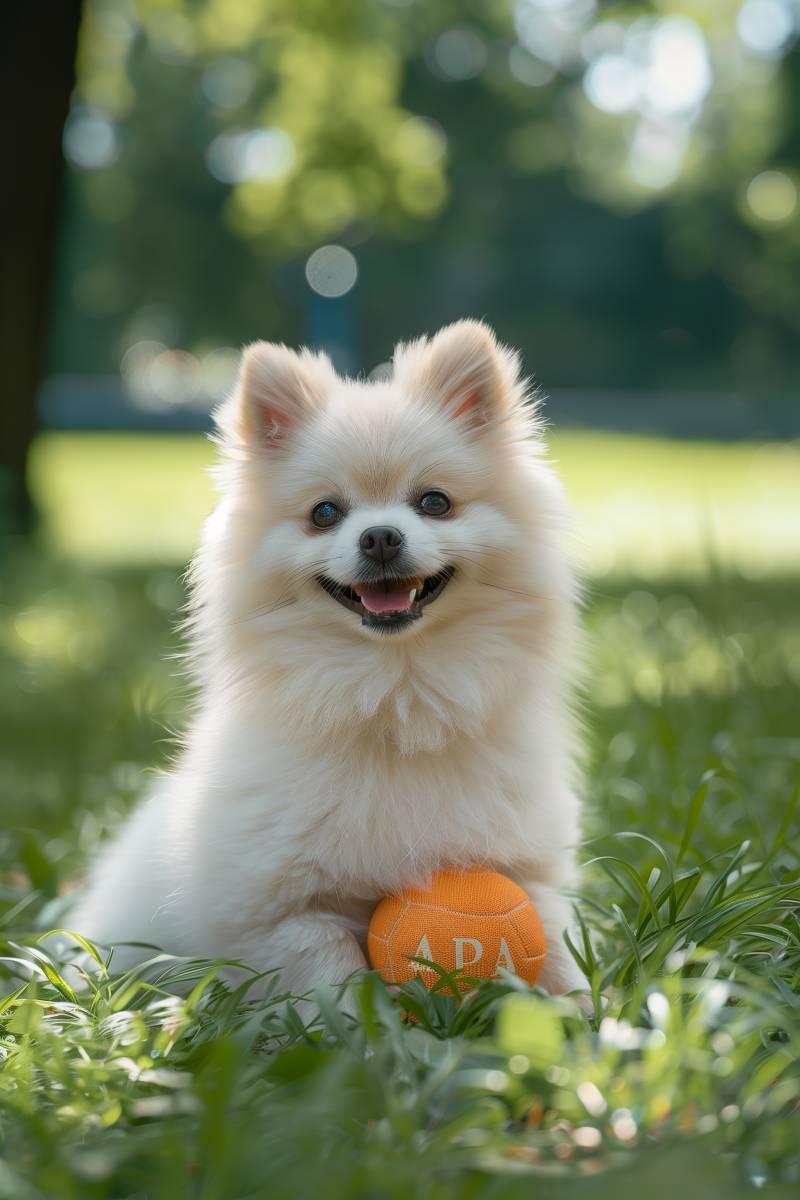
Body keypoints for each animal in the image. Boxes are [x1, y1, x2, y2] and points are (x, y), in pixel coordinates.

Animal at [71, 321, 585, 1003]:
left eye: (435, 503)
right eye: (325, 514)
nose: (381, 536)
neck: (396, 695)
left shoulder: (527, 871)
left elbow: (554, 946)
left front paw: (585, 1014)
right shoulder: (279, 914)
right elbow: (333, 980)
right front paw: (368, 1028)